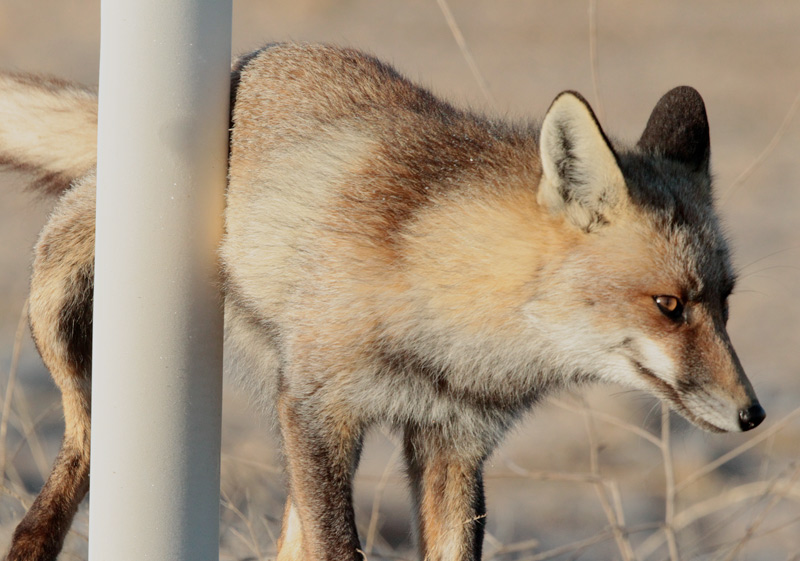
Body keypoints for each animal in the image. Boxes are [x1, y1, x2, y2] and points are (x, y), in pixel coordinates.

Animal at [0, 43, 764, 560]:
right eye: (668, 305)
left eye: (726, 300)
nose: (753, 414)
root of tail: (249, 60)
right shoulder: (317, 408)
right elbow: (342, 547)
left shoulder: (454, 442)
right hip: (60, 309)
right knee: (82, 436)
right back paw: (35, 536)